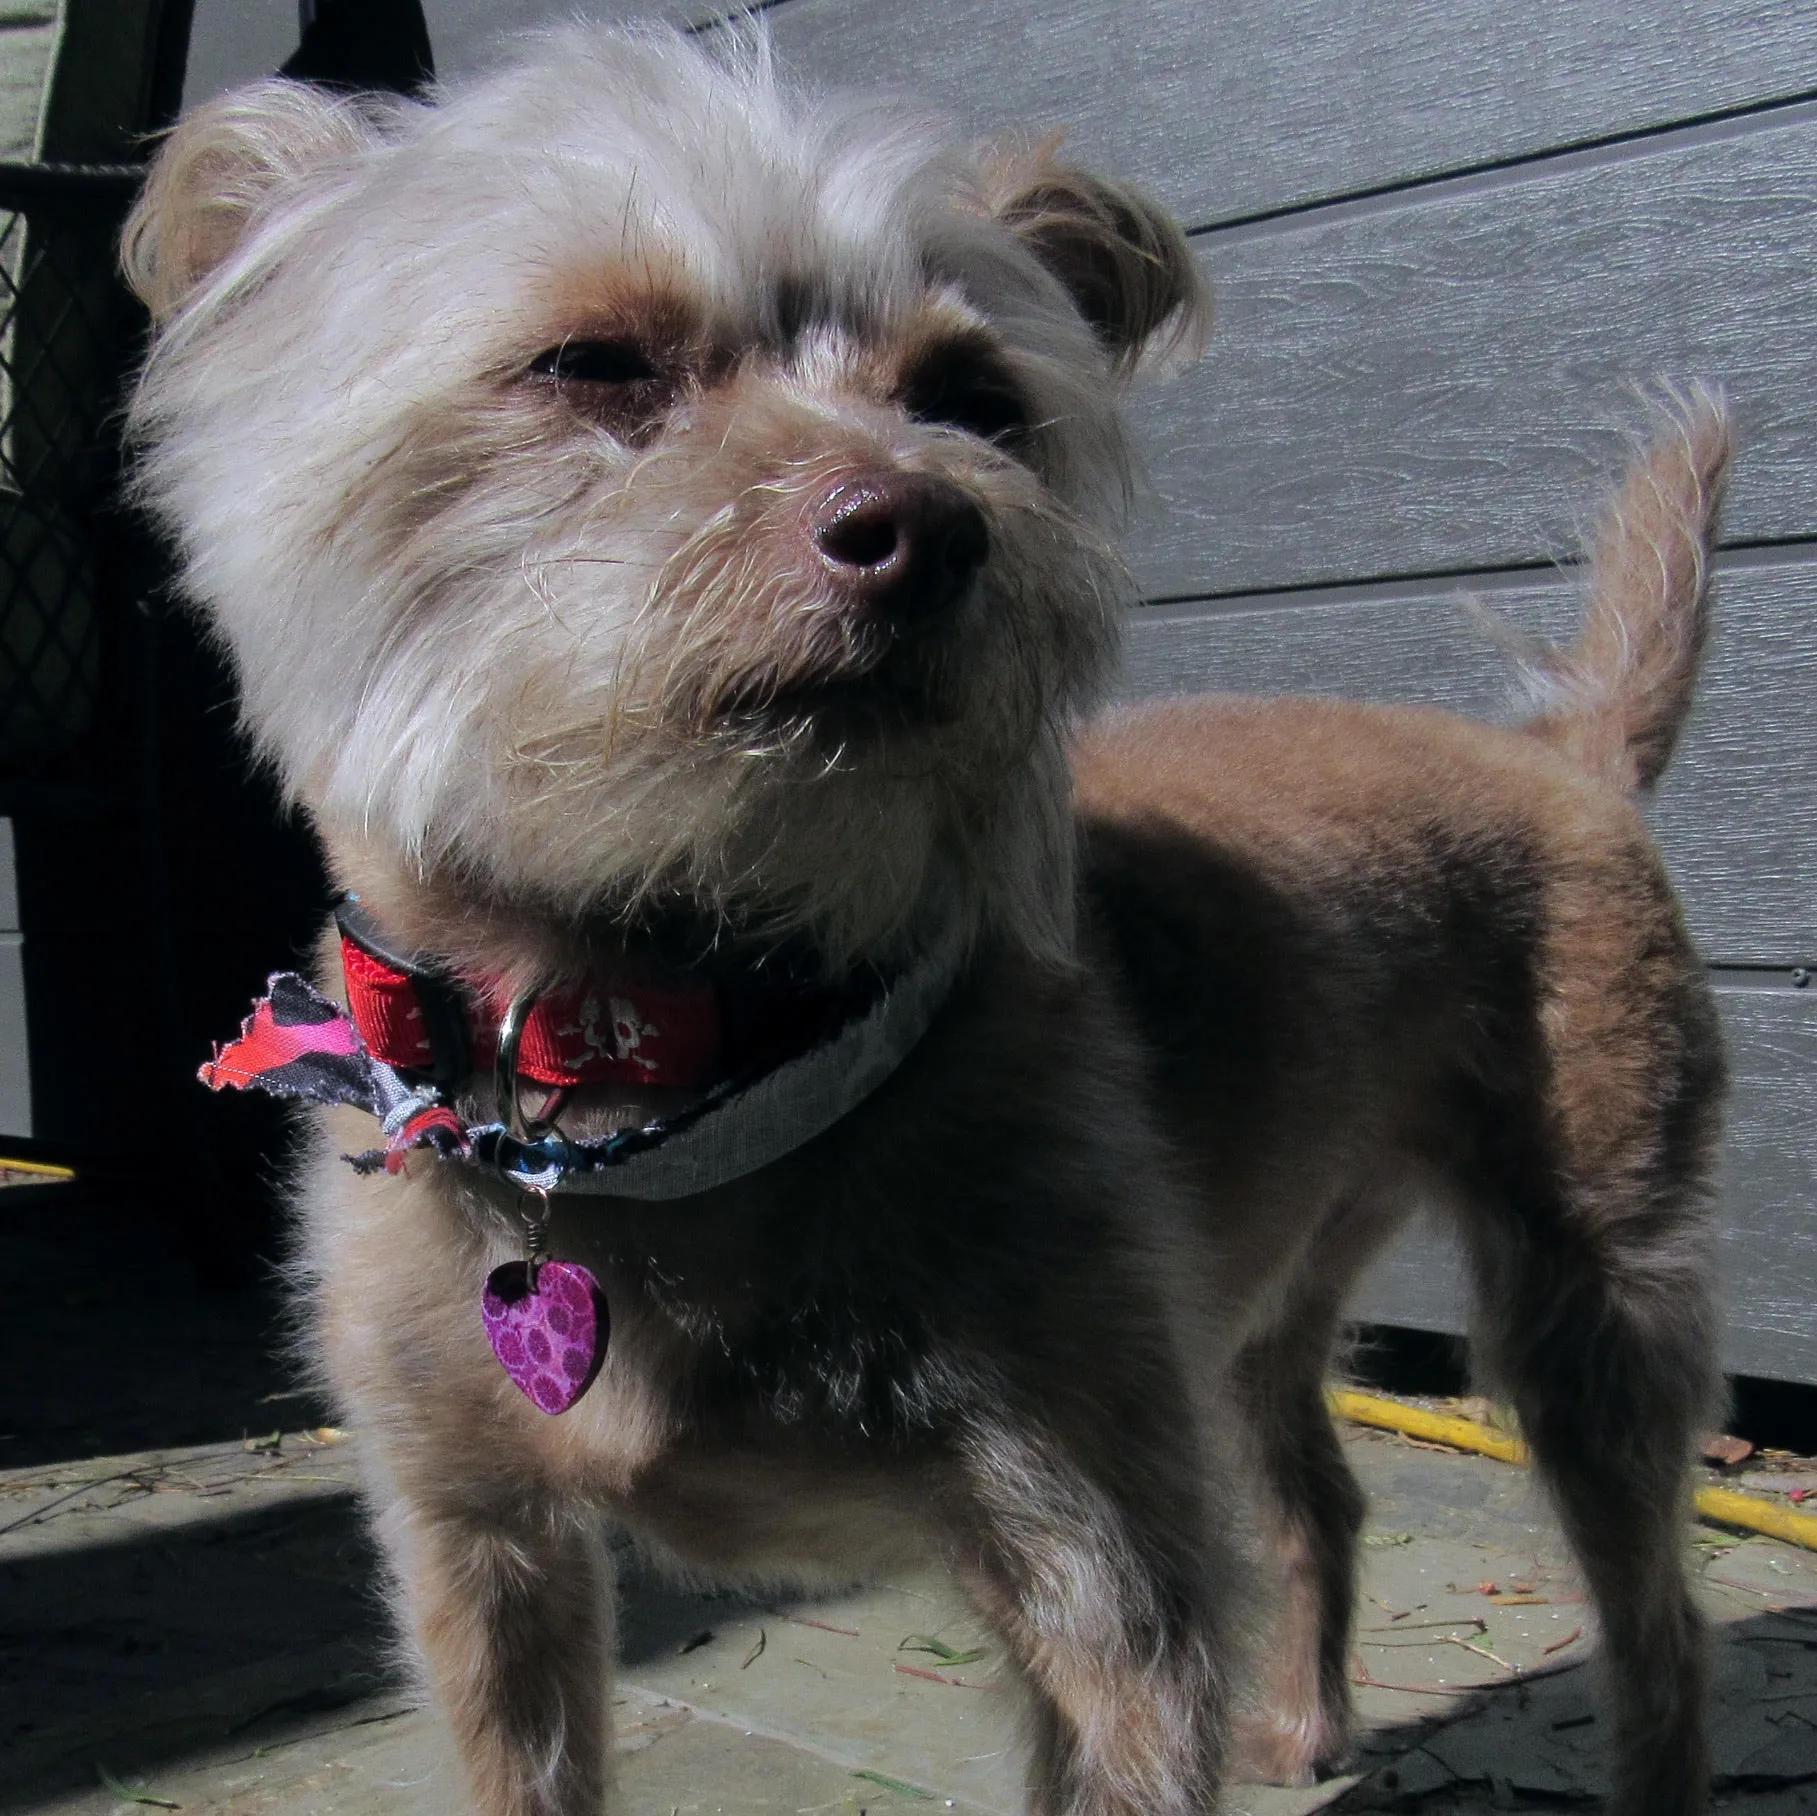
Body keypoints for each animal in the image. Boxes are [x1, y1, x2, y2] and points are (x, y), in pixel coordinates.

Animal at [124, 24, 1729, 1816]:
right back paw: (1305, 1726)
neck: (664, 1051)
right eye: (593, 362)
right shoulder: (478, 1549)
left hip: (1593, 1294)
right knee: (1315, 1482)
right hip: (1255, 1290)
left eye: (979, 404)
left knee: (1657, 1618)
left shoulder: (1103, 1567)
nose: (929, 524)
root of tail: (1564, 751)